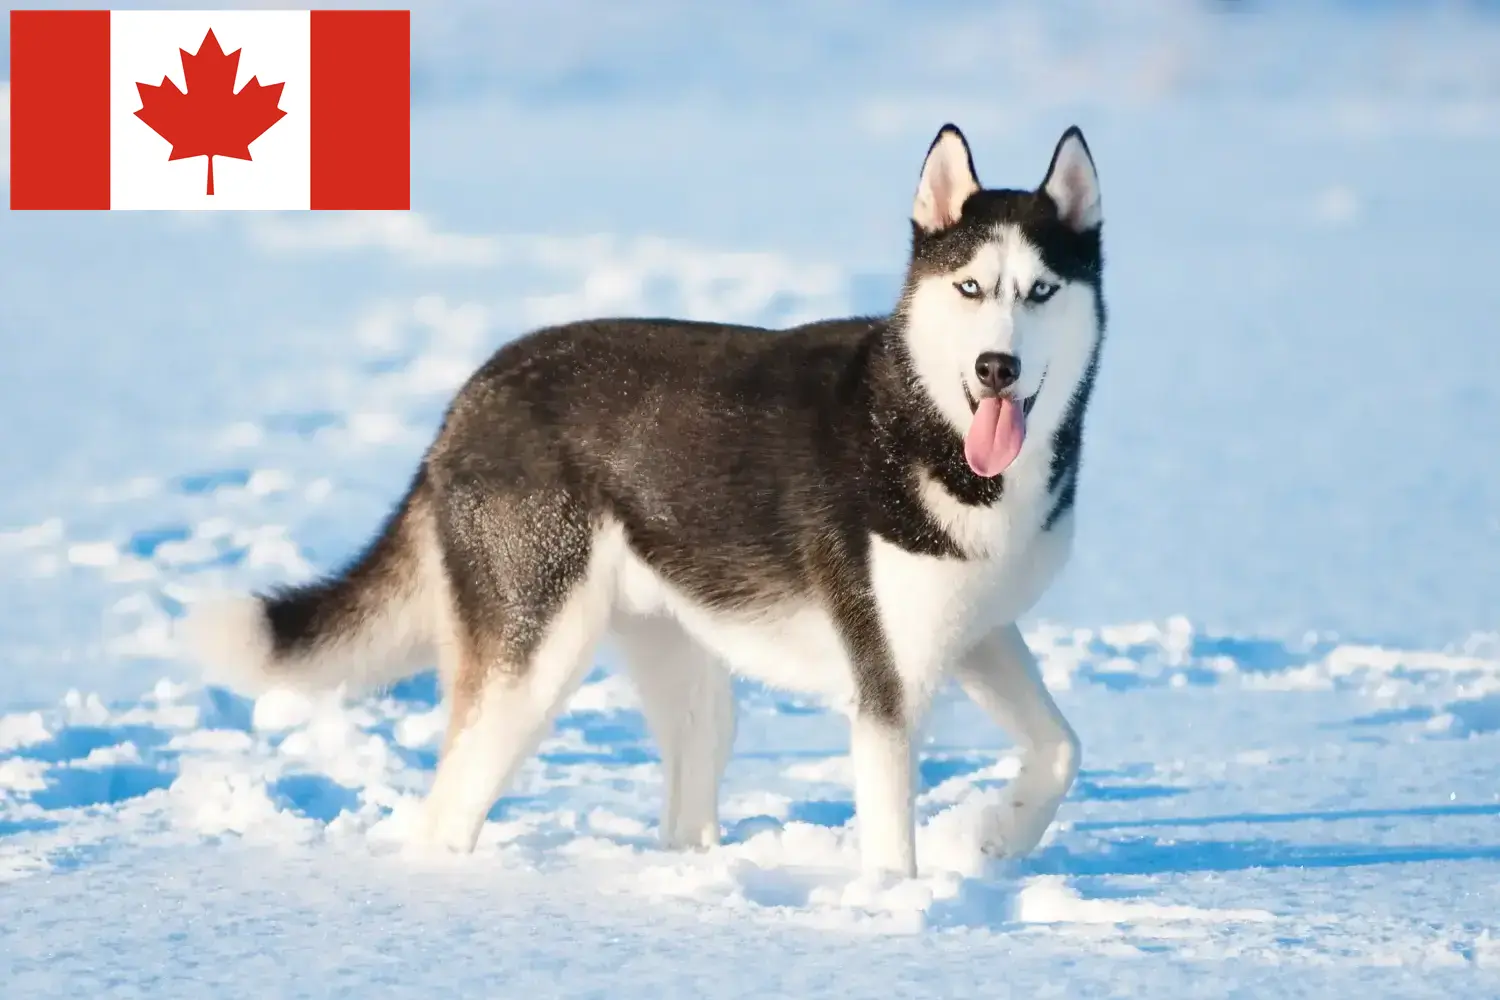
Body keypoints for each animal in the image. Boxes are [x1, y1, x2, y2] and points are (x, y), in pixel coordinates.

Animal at [184, 122, 1104, 875]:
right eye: (970, 288)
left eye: (1042, 291)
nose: (996, 367)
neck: (926, 426)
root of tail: (473, 392)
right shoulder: (884, 687)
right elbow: (891, 852)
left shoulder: (978, 633)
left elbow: (1063, 748)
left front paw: (995, 835)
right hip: (534, 663)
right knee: (448, 812)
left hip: (686, 669)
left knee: (685, 807)